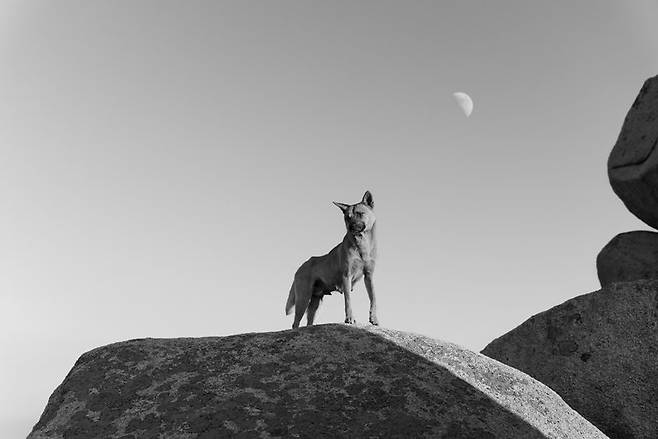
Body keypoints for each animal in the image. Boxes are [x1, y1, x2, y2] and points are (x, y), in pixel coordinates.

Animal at [284, 191, 376, 328]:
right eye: (347, 217)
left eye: (360, 213)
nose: (350, 227)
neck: (362, 246)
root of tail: (301, 266)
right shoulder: (346, 276)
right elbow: (348, 301)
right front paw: (350, 318)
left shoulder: (369, 276)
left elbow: (373, 298)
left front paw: (374, 319)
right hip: (303, 298)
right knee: (295, 323)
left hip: (315, 303)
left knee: (309, 322)